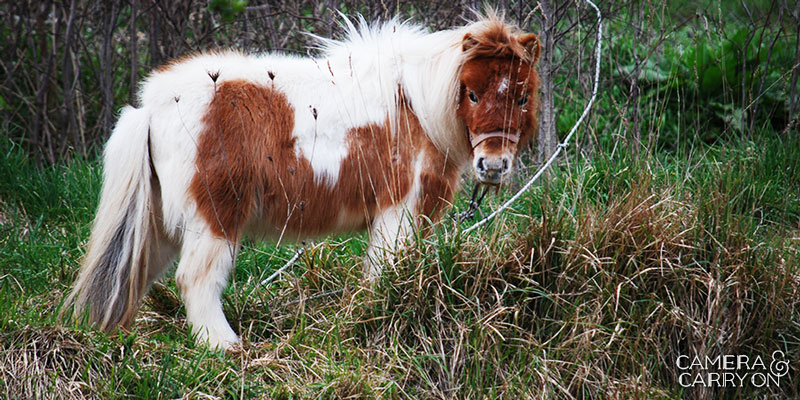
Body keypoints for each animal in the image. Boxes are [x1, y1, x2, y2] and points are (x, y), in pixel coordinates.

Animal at [69, 13, 540, 350]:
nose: (493, 165)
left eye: (522, 96)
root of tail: (152, 107)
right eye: (471, 93)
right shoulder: (398, 211)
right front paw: (373, 320)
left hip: (162, 222)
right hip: (215, 217)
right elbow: (384, 273)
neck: (416, 105)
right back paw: (224, 346)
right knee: (196, 279)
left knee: (137, 271)